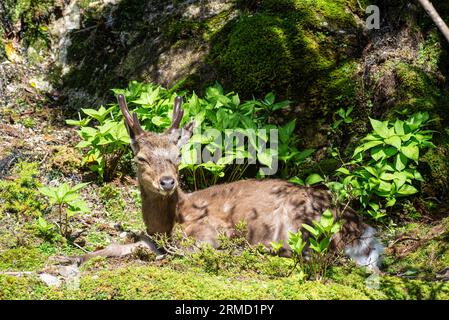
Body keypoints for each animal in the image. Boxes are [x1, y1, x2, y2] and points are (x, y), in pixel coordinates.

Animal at [73, 94, 382, 272]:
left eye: (177, 155)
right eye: (141, 158)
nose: (167, 181)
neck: (169, 222)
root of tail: (363, 230)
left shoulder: (211, 231)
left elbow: (179, 250)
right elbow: (118, 246)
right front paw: (75, 258)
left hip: (302, 220)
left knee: (314, 256)